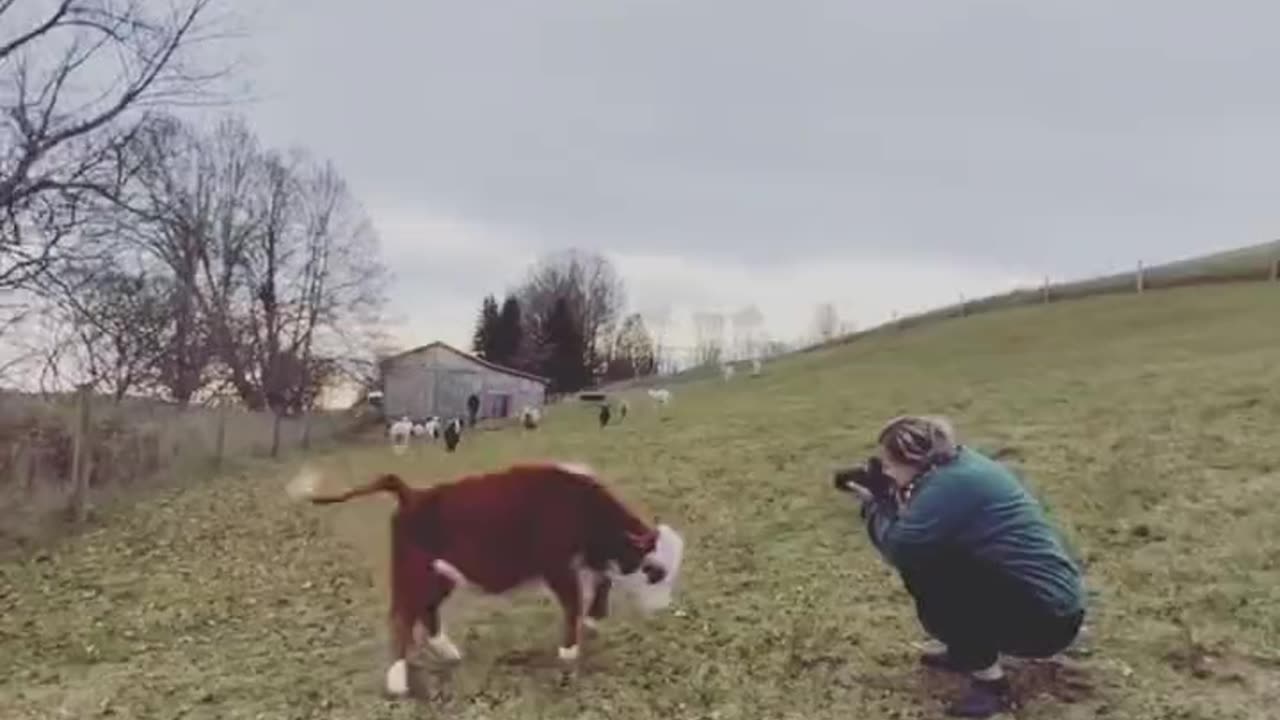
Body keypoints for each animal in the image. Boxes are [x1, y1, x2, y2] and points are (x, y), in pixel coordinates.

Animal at [286, 458, 686, 696]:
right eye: (655, 573)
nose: (664, 607)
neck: (580, 506)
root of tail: (412, 494)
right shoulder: (557, 567)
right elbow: (574, 601)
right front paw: (569, 651)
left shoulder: (584, 561)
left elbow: (602, 581)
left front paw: (593, 621)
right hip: (413, 573)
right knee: (401, 617)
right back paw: (398, 680)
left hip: (441, 575)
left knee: (426, 613)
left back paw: (448, 653)